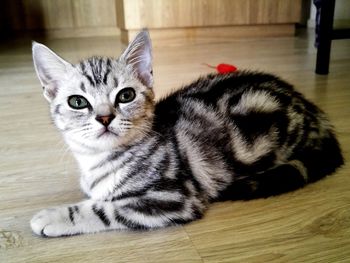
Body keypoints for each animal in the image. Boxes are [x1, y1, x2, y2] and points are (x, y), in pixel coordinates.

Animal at [31, 30, 344, 237]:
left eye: (126, 95)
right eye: (77, 102)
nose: (105, 117)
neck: (98, 161)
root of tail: (316, 112)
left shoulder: (174, 198)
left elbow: (104, 209)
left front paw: (54, 216)